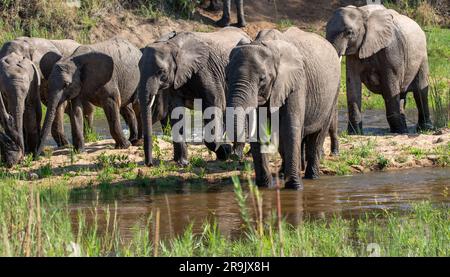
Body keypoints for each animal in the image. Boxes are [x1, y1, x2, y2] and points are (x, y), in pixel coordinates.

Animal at [138, 27, 250, 166]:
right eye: (138, 68)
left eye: (161, 72)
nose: (150, 164)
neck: (173, 45)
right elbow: (176, 110)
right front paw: (183, 163)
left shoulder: (207, 71)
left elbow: (215, 104)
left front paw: (226, 151)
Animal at [326, 4, 434, 134]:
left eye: (349, 32)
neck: (362, 12)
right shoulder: (355, 53)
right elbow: (353, 84)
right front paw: (354, 133)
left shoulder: (391, 48)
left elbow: (390, 86)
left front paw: (399, 131)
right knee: (401, 95)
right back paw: (404, 129)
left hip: (422, 57)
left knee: (419, 92)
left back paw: (423, 129)